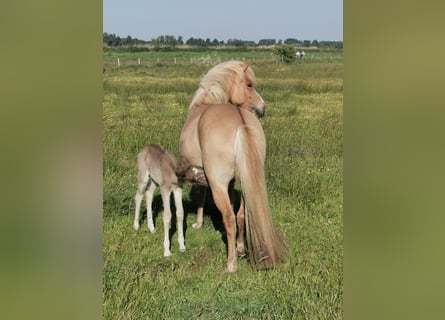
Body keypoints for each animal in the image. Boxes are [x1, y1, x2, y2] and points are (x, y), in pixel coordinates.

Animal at [178, 60, 288, 272]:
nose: (262, 109)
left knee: (229, 218)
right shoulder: (230, 182)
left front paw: (197, 223)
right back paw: (240, 248)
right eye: (249, 85)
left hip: (218, 183)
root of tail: (241, 123)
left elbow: (201, 196)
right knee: (241, 214)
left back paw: (231, 264)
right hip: (246, 183)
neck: (204, 104)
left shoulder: (204, 175)